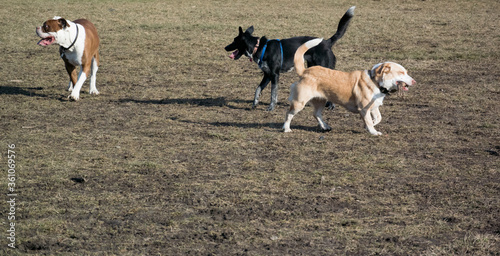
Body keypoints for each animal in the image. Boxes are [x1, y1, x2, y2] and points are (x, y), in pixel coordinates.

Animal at [225, 6, 354, 110]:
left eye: (234, 41)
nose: (225, 47)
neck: (260, 47)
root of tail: (327, 42)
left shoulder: (274, 75)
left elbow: (273, 94)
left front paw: (271, 107)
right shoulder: (267, 75)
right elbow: (258, 89)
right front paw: (254, 103)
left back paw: (331, 105)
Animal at [284, 38, 416, 135]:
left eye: (406, 72)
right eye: (401, 73)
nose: (414, 81)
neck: (375, 82)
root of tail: (305, 71)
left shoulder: (373, 107)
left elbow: (378, 118)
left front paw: (370, 125)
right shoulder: (364, 108)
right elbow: (369, 121)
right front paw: (373, 131)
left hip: (321, 100)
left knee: (316, 114)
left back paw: (325, 126)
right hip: (299, 102)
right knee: (289, 113)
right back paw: (286, 128)